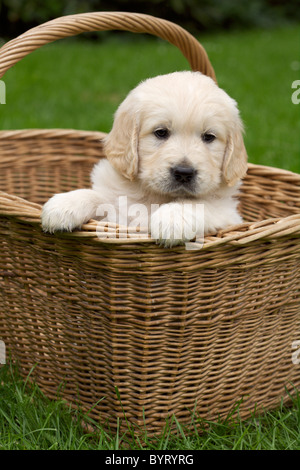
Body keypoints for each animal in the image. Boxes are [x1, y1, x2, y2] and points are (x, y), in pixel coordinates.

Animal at [41, 70, 247, 246]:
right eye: (161, 132)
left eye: (209, 137)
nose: (184, 173)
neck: (154, 197)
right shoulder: (116, 209)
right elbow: (100, 197)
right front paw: (64, 205)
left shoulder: (229, 215)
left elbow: (199, 203)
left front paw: (171, 219)